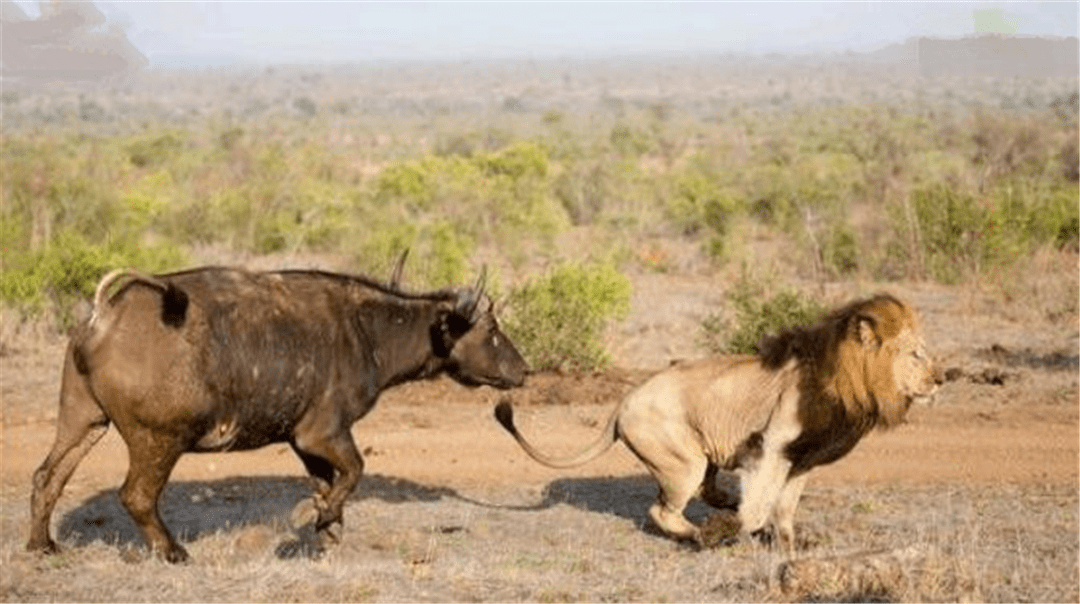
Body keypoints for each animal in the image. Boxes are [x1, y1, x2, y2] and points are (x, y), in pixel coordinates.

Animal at [28, 264, 527, 561]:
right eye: (492, 330)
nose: (523, 369)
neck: (367, 331)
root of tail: (105, 315)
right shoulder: (324, 434)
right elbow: (355, 471)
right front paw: (320, 521)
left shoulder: (306, 443)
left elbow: (330, 483)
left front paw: (328, 532)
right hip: (159, 440)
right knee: (136, 496)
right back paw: (174, 552)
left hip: (83, 422)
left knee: (46, 476)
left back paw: (42, 544)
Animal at [496, 293, 937, 553]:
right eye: (916, 354)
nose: (942, 378)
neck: (851, 382)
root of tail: (621, 404)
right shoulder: (772, 446)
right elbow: (759, 506)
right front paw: (738, 528)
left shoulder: (802, 460)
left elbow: (784, 509)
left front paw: (789, 545)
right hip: (683, 461)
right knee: (662, 511)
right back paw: (704, 535)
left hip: (703, 455)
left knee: (703, 491)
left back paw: (722, 505)